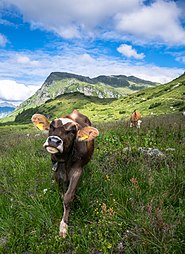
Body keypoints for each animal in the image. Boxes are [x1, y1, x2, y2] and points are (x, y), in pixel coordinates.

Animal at [31, 109, 99, 238]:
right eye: (51, 126)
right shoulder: (56, 170)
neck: (64, 159)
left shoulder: (77, 170)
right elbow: (62, 193)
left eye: (72, 131)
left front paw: (64, 225)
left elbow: (68, 196)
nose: (53, 141)